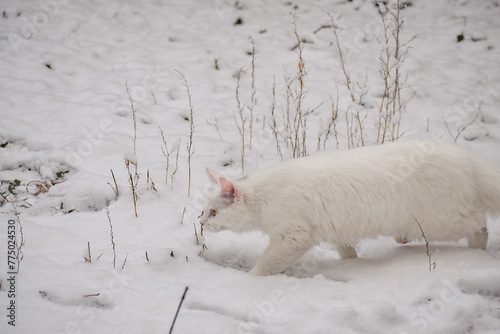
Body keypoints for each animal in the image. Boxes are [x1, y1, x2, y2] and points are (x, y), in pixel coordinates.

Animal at [199, 140, 500, 276]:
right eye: (203, 211)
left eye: (213, 212)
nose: (201, 223)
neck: (264, 197)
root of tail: (465, 158)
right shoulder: (333, 231)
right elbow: (348, 251)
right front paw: (352, 264)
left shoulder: (293, 236)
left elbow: (266, 265)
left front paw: (250, 279)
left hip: (442, 219)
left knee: (480, 224)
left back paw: (478, 253)